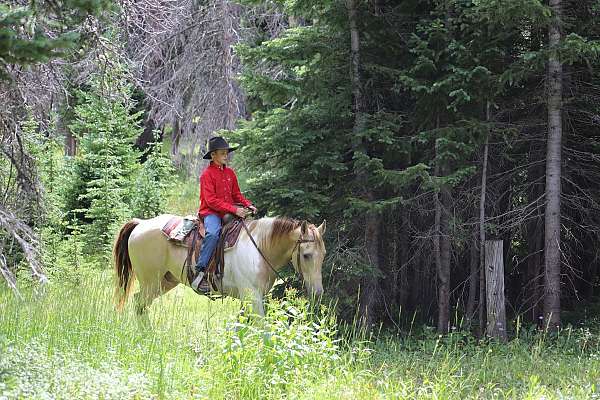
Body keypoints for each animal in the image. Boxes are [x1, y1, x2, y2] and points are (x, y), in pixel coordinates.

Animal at [112, 214, 328, 318]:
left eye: (323, 255)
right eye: (307, 255)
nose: (318, 292)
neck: (260, 248)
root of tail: (141, 223)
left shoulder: (249, 299)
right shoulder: (252, 297)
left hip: (165, 281)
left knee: (139, 302)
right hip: (151, 280)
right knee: (140, 304)